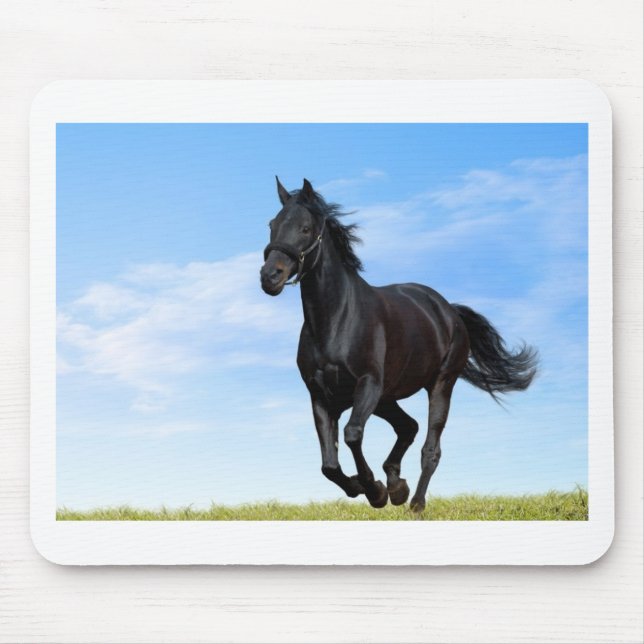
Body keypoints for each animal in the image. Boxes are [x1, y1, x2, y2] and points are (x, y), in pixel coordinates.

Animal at [260, 177, 538, 512]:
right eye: (272, 224)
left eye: (305, 228)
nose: (269, 276)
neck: (336, 320)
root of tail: (448, 310)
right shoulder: (321, 396)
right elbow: (329, 465)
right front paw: (368, 487)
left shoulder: (367, 384)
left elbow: (352, 435)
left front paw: (374, 490)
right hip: (387, 398)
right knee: (409, 427)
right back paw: (397, 485)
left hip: (439, 385)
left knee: (430, 447)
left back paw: (414, 502)